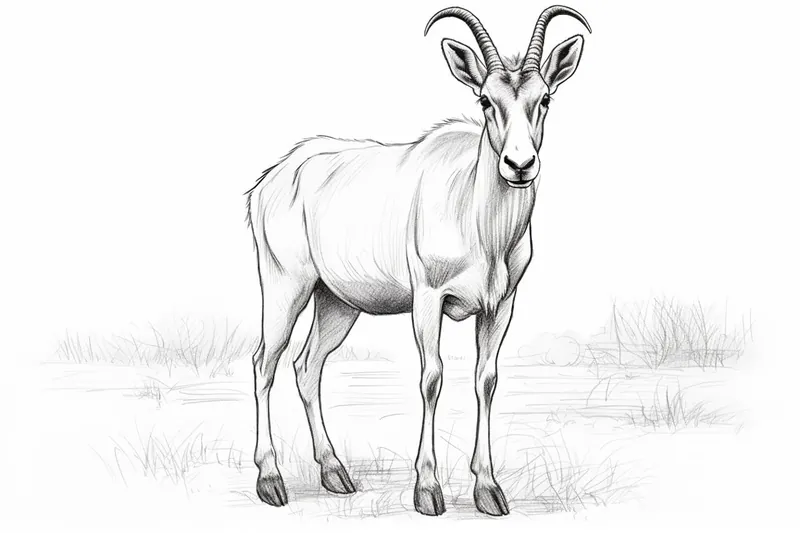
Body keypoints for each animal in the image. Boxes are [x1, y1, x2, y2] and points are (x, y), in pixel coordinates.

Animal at [246, 5, 591, 516]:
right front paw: (427, 490)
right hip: (285, 287)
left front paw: (488, 489)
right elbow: (432, 377)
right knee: (263, 363)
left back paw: (335, 473)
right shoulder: (428, 300)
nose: (519, 164)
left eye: (544, 97)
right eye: (485, 99)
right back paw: (271, 481)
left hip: (336, 303)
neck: (479, 219)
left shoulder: (499, 306)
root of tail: (272, 179)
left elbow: (486, 379)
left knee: (307, 366)